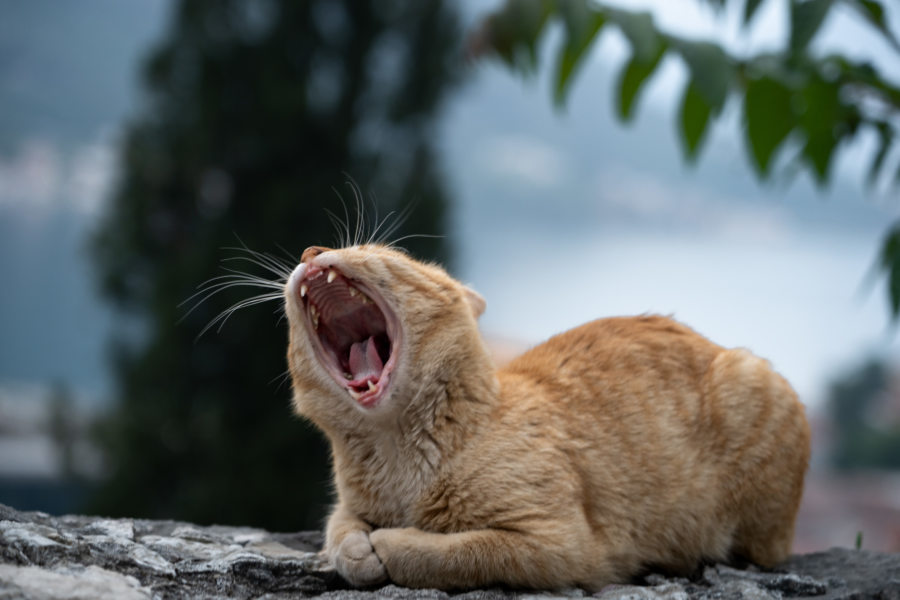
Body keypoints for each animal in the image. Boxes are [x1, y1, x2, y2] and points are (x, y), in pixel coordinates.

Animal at [284, 244, 812, 592]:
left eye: (373, 249)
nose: (313, 249)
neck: (397, 455)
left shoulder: (562, 545)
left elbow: (456, 552)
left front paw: (394, 544)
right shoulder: (350, 504)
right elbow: (339, 527)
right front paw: (355, 550)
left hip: (751, 391)